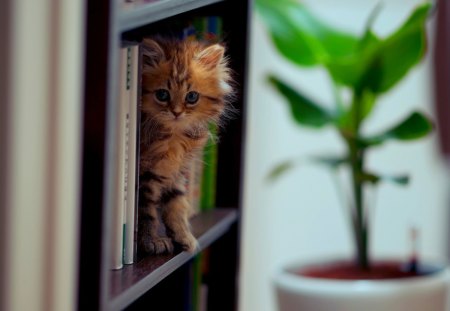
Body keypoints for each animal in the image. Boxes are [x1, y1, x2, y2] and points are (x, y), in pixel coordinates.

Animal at [139, 37, 234, 256]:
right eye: (162, 94)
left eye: (191, 97)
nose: (176, 112)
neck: (173, 136)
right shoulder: (143, 175)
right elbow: (146, 212)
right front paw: (151, 241)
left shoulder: (176, 172)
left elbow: (177, 205)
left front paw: (184, 236)